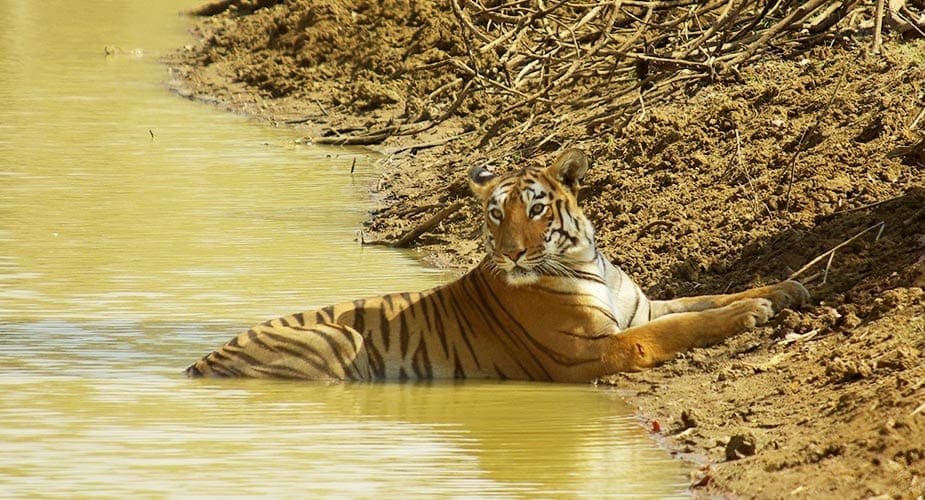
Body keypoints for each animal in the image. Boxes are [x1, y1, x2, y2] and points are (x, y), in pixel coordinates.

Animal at [184, 148, 804, 382]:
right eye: (493, 213)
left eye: (536, 208)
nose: (511, 252)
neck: (585, 260)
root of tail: (199, 364)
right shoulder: (591, 351)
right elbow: (683, 325)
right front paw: (754, 311)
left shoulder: (642, 308)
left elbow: (704, 299)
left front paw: (786, 288)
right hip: (338, 339)